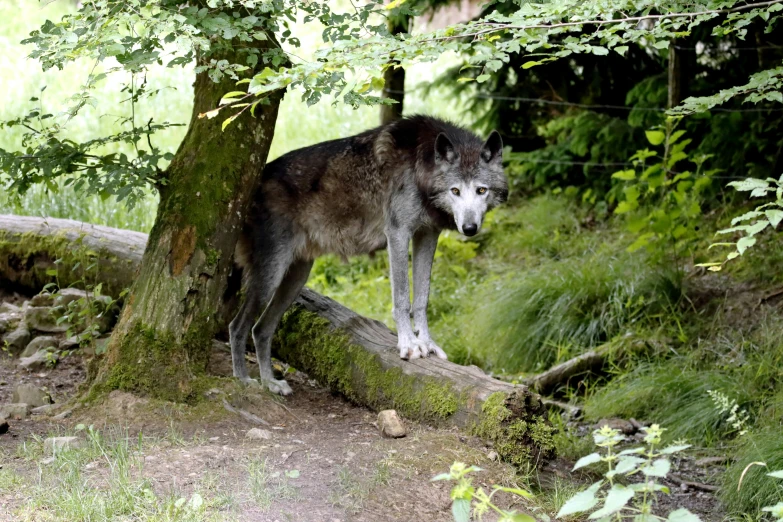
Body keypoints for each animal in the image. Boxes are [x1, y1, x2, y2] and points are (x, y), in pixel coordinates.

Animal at [228, 112, 508, 390]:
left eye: (481, 190)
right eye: (455, 191)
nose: (469, 228)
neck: (420, 167)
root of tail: (256, 182)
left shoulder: (427, 235)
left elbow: (421, 299)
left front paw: (427, 343)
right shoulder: (398, 233)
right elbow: (402, 298)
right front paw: (408, 345)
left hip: (296, 278)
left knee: (261, 330)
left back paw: (270, 383)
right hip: (271, 277)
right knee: (237, 326)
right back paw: (244, 380)